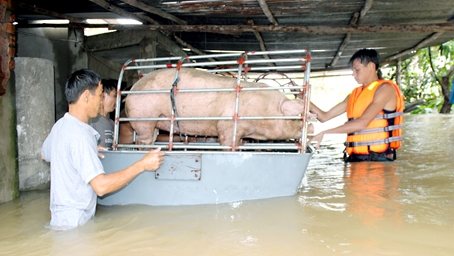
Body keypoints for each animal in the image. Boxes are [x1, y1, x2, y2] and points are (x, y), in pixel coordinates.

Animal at [124, 68, 308, 148]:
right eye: (294, 117)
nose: (310, 127)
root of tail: (131, 90)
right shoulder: (226, 125)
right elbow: (227, 142)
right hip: (143, 117)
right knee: (144, 139)